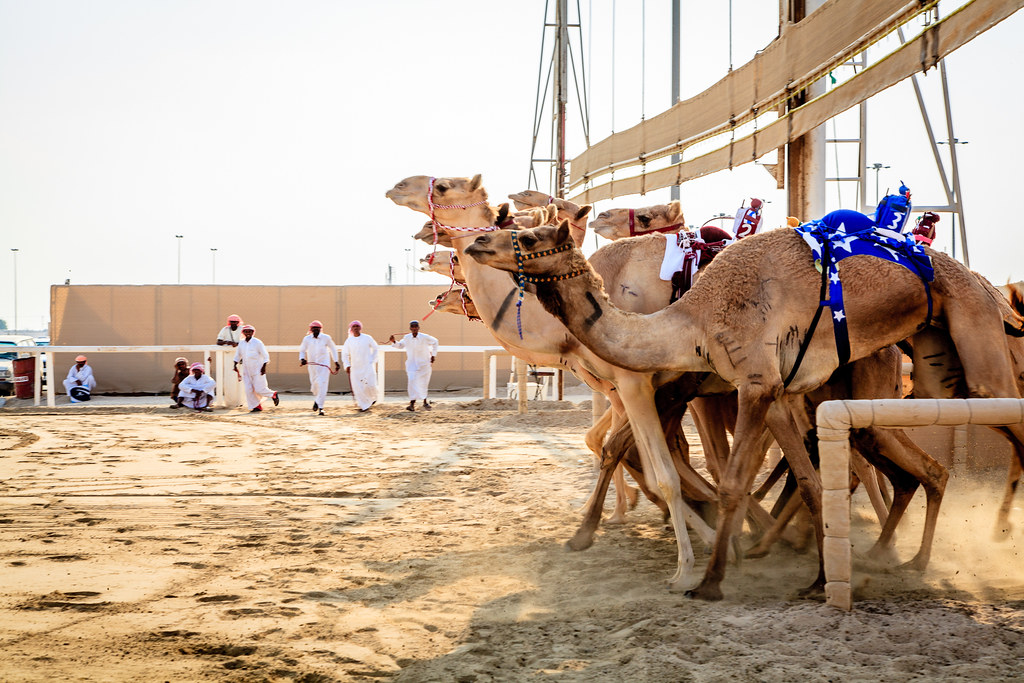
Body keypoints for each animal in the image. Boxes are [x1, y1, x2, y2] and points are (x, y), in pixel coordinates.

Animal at [466, 223, 1024, 598]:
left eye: (527, 237)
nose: (476, 244)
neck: (691, 319)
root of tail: (987, 284)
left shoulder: (752, 385)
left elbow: (733, 479)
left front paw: (709, 579)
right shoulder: (761, 389)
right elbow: (800, 478)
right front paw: (814, 575)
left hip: (975, 340)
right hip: (935, 366)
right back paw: (910, 554)